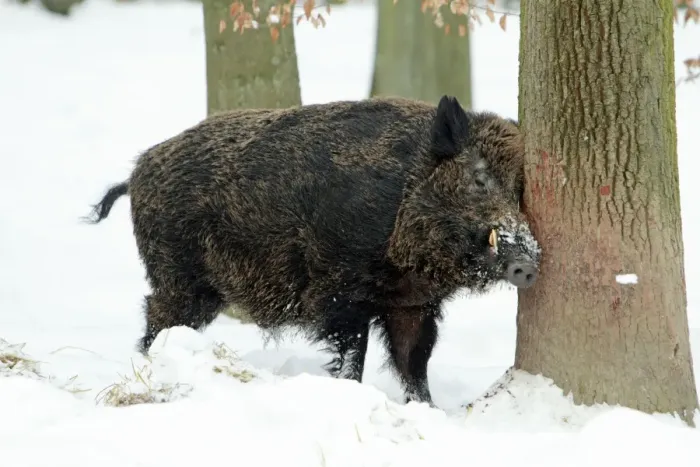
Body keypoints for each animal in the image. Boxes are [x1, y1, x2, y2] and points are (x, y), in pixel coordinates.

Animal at [86, 95, 540, 406]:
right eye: (479, 179)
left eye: (522, 190)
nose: (528, 264)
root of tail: (136, 173)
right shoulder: (340, 289)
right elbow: (353, 353)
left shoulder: (412, 305)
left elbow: (414, 361)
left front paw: (427, 410)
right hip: (179, 277)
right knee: (156, 317)